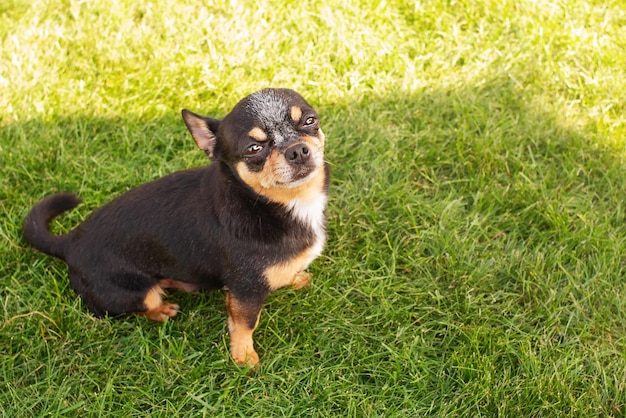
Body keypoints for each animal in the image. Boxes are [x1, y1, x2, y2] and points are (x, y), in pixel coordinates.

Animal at [22, 88, 330, 366]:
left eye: (310, 121)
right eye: (254, 149)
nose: (297, 150)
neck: (268, 203)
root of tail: (71, 241)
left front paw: (294, 277)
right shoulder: (245, 291)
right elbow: (244, 324)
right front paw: (243, 357)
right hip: (135, 292)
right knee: (135, 308)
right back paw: (161, 310)